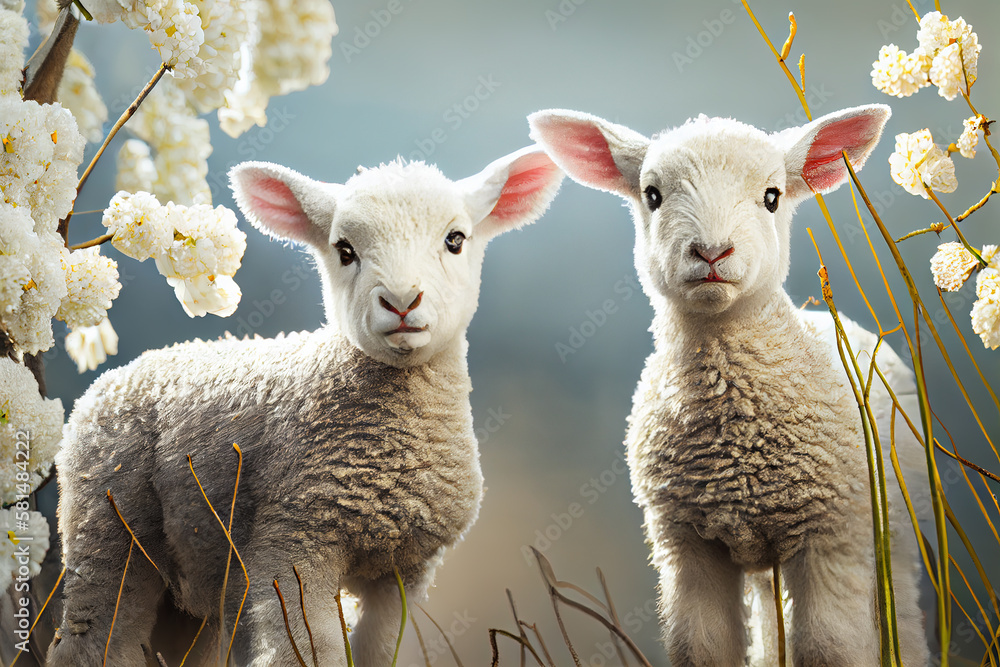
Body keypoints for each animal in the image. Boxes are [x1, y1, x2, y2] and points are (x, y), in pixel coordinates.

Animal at [47, 146, 564, 667]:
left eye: (455, 240)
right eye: (345, 250)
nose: (401, 301)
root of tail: (112, 378)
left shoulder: (404, 572)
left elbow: (380, 649)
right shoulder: (293, 546)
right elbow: (311, 651)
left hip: (196, 572)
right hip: (107, 522)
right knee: (96, 637)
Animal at [528, 105, 930, 666]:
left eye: (772, 196)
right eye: (652, 194)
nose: (712, 252)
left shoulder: (830, 535)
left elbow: (828, 647)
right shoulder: (685, 544)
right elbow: (701, 646)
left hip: (894, 530)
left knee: (903, 620)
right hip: (767, 562)